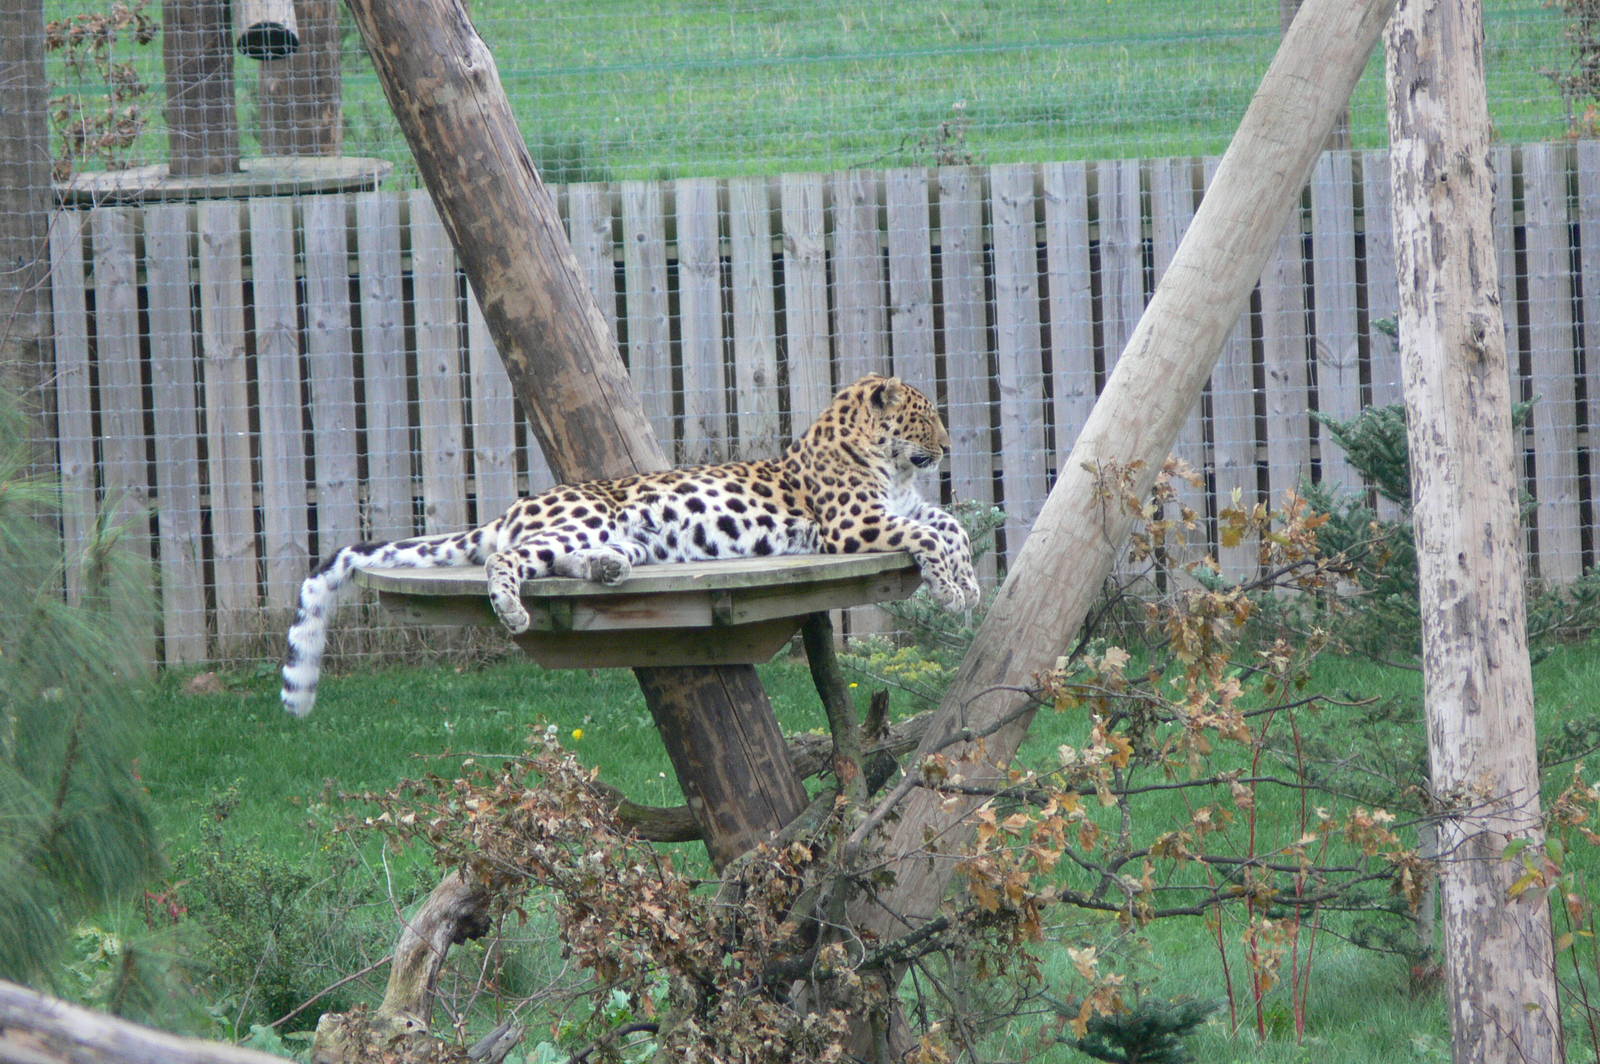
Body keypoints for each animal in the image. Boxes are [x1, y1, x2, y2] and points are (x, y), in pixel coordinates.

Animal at [280, 374, 980, 716]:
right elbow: (929, 533)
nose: (950, 447)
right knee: (508, 559)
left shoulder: (903, 508)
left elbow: (953, 527)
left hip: (625, 538)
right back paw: (514, 609)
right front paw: (951, 591)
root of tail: (511, 507)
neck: (893, 467)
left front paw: (968, 585)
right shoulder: (854, 525)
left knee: (553, 559)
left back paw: (607, 570)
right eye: (925, 417)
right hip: (586, 517)